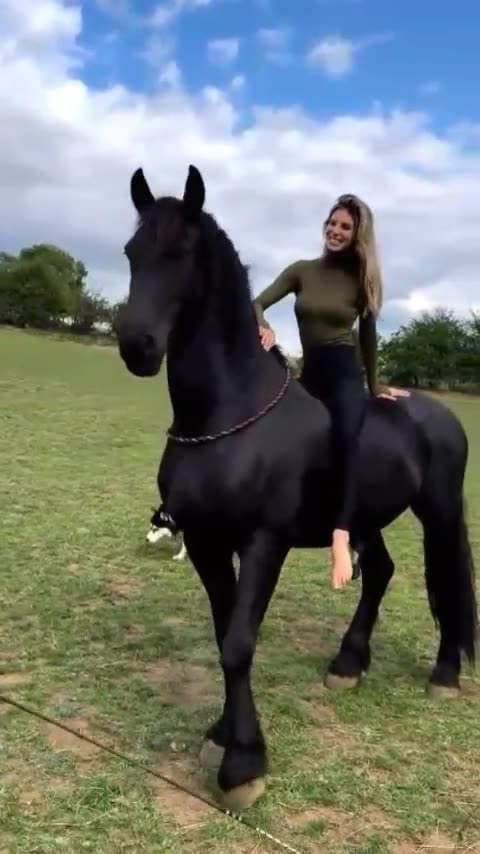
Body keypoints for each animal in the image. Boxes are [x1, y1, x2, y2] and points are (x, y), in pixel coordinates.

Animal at [116, 163, 478, 811]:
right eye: (132, 253)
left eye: (182, 252)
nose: (137, 346)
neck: (228, 413)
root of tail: (435, 412)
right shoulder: (206, 544)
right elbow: (225, 632)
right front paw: (221, 735)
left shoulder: (265, 543)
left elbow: (239, 642)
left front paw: (243, 765)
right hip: (364, 520)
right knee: (381, 573)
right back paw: (348, 664)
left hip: (436, 512)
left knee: (444, 578)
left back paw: (443, 676)